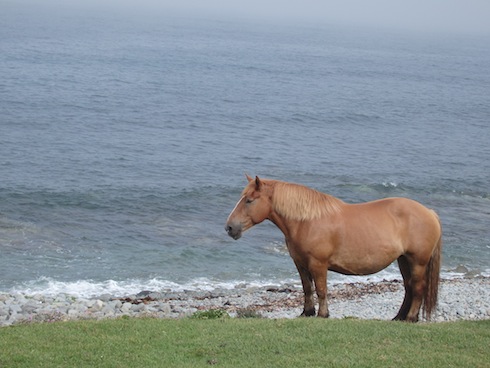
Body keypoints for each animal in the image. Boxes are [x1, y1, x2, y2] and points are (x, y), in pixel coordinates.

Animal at [226, 175, 444, 322]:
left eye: (249, 200)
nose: (229, 227)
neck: (307, 221)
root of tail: (429, 212)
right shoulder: (300, 264)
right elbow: (307, 288)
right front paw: (307, 312)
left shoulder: (318, 264)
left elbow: (321, 289)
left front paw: (323, 314)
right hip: (403, 260)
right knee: (408, 288)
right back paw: (399, 317)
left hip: (417, 262)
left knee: (417, 288)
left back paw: (411, 318)